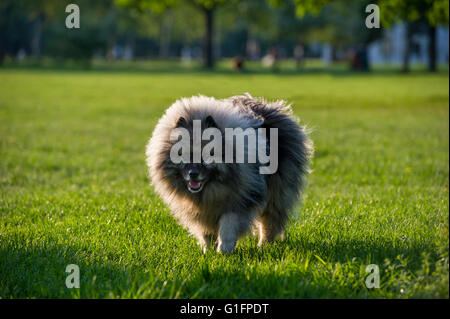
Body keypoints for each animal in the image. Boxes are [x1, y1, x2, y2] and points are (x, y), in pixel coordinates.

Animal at [147, 94, 312, 254]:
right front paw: (208, 251)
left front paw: (224, 250)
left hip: (276, 193)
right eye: (184, 155)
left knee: (269, 222)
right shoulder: (202, 212)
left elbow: (228, 227)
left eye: (208, 155)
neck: (212, 188)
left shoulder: (237, 202)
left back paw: (264, 245)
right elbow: (206, 233)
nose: (193, 173)